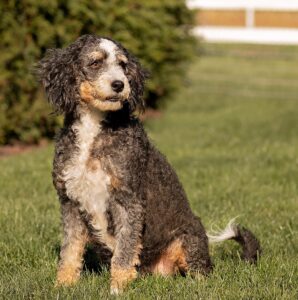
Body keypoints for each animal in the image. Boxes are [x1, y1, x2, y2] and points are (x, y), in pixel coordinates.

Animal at [37, 34, 260, 294]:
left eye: (123, 65)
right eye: (95, 62)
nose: (119, 84)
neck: (94, 130)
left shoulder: (128, 201)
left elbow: (124, 253)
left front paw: (117, 289)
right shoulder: (70, 201)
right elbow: (70, 252)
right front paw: (62, 286)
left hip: (188, 240)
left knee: (203, 273)